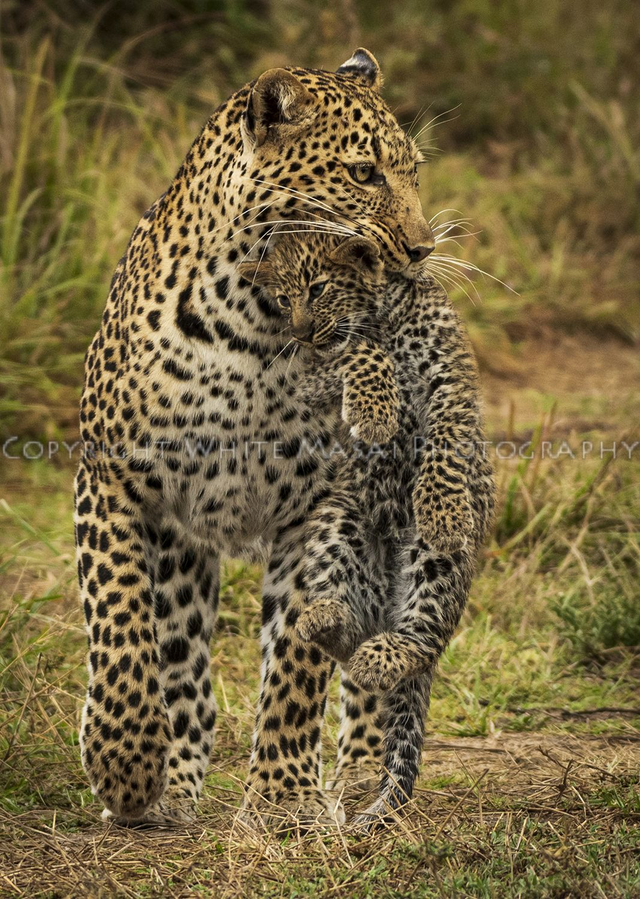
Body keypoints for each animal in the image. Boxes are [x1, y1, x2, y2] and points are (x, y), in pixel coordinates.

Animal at [73, 47, 439, 829]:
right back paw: (173, 785)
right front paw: (124, 763)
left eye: (414, 173)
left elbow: (300, 656)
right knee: (182, 662)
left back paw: (356, 779)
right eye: (364, 173)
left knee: (367, 663)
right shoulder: (112, 478)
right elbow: (122, 622)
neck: (252, 323)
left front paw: (281, 795)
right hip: (181, 548)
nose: (423, 249)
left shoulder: (321, 504)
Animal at [238, 228, 496, 826]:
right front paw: (376, 411)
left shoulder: (451, 386)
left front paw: (445, 511)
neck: (381, 314)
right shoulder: (311, 375)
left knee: (424, 639)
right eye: (281, 300)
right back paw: (324, 620)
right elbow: (353, 352)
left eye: (318, 288)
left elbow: (443, 447)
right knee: (349, 636)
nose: (299, 331)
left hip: (431, 567)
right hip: (340, 519)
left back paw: (384, 650)